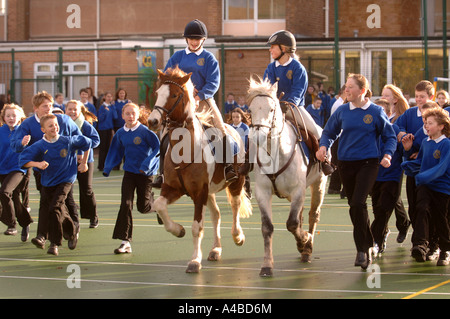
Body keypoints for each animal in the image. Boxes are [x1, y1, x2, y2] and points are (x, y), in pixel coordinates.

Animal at [149, 66, 251, 274]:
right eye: (157, 93)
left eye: (174, 95)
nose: (152, 121)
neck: (185, 150)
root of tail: (233, 128)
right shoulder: (173, 189)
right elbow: (159, 206)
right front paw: (178, 230)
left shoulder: (199, 193)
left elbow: (197, 227)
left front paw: (195, 260)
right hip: (210, 192)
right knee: (216, 214)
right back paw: (215, 249)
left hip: (236, 182)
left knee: (235, 206)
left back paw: (238, 236)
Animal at [248, 78, 326, 278]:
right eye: (250, 110)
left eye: (271, 109)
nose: (257, 137)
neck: (276, 153)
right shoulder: (263, 192)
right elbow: (267, 227)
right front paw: (267, 265)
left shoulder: (298, 190)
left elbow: (291, 223)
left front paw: (305, 240)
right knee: (301, 214)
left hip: (319, 184)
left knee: (313, 215)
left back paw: (307, 247)